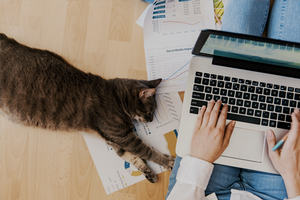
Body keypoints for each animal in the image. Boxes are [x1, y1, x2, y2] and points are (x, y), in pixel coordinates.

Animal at [0, 33, 173, 183]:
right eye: (149, 112)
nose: (150, 120)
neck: (117, 98)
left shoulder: (115, 140)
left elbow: (131, 157)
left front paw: (148, 172)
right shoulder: (125, 137)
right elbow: (148, 151)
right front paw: (168, 161)